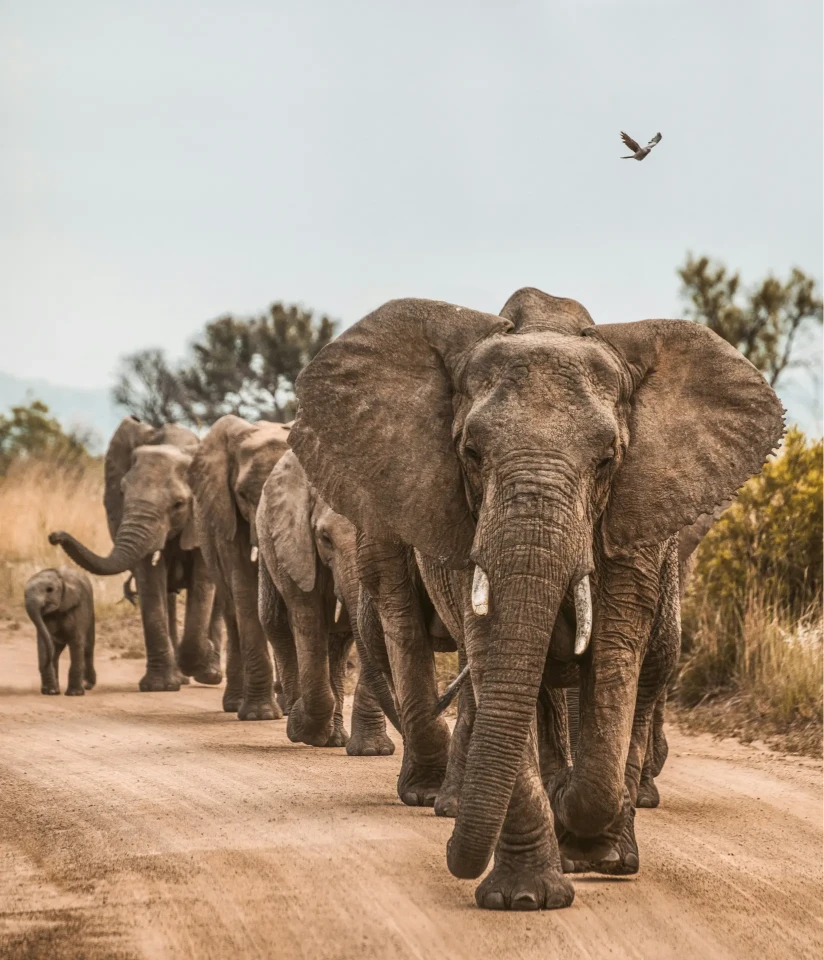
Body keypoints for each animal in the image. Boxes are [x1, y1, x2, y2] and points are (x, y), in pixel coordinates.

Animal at [24, 566, 96, 696]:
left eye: (50, 590)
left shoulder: (79, 608)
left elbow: (76, 641)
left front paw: (74, 694)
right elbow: (44, 641)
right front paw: (50, 692)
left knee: (88, 648)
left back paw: (87, 685)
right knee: (56, 651)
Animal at [49, 417, 222, 692]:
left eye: (179, 504)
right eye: (121, 493)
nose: (55, 535)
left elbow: (203, 583)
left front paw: (202, 653)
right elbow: (150, 581)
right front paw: (160, 687)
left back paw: (210, 675)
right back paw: (181, 676)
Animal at [256, 449, 400, 751]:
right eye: (325, 538)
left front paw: (372, 751)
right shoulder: (296, 544)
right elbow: (307, 620)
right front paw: (302, 728)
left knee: (339, 643)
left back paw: (333, 739)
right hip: (267, 544)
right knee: (275, 623)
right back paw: (299, 722)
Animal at [288, 288, 783, 910]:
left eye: (607, 460)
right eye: (471, 453)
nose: (451, 854)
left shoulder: (635, 521)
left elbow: (615, 661)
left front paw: (589, 841)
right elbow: (494, 657)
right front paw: (526, 897)